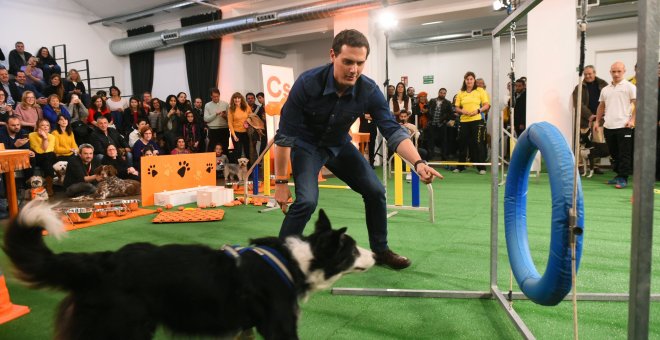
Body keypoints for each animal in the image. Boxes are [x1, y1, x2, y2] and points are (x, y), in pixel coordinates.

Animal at [2, 202, 374, 340]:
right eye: (354, 249)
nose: (374, 256)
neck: (298, 261)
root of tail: (102, 261)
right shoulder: (278, 325)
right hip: (122, 328)